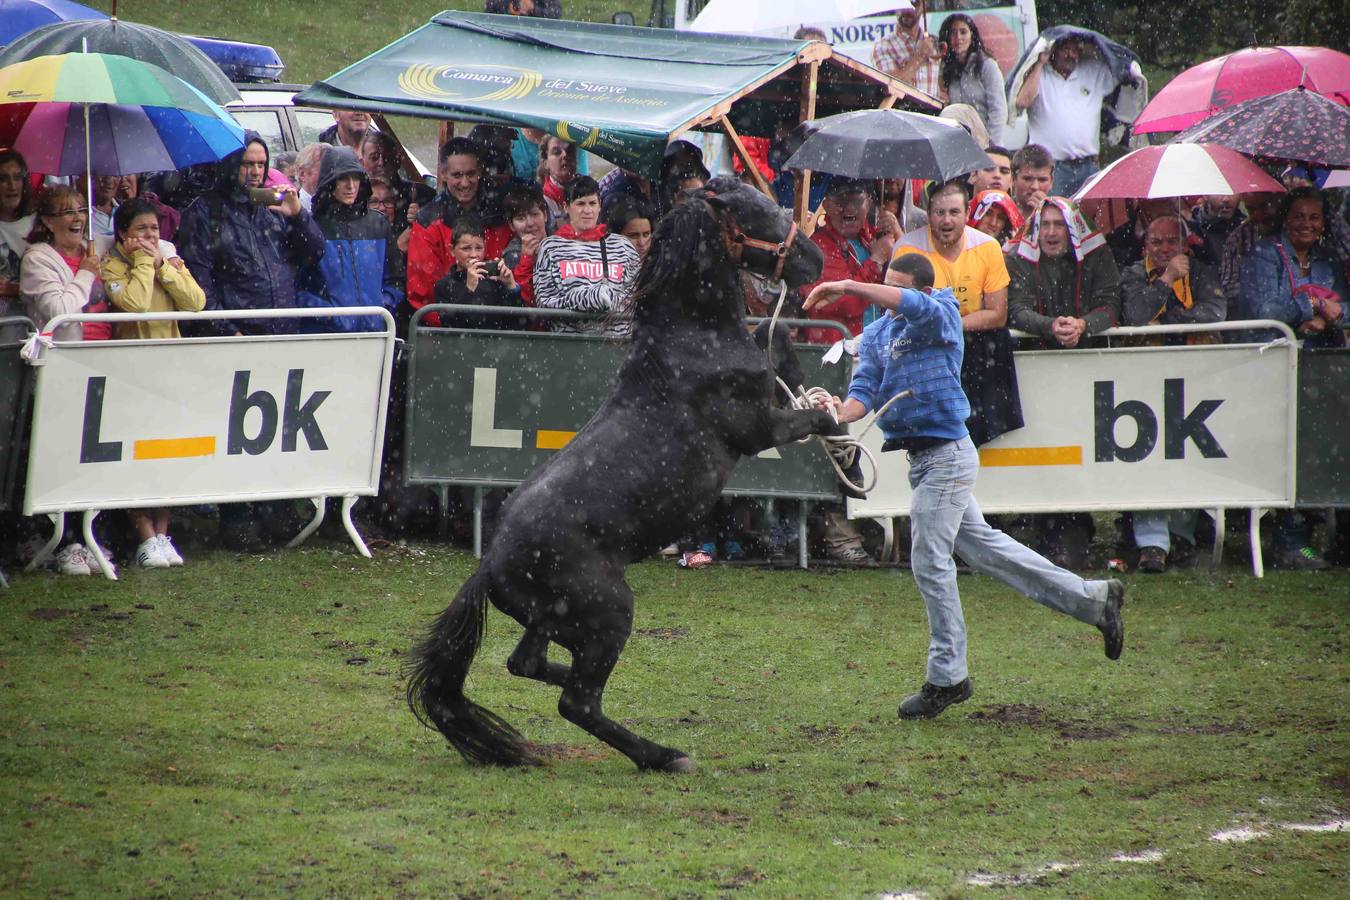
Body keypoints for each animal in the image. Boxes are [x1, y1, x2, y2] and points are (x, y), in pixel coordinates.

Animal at [405, 178, 837, 777]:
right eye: (755, 210)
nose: (813, 260)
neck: (691, 339)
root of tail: (491, 563)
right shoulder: (759, 430)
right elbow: (819, 417)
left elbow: (782, 351)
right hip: (610, 612)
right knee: (578, 702)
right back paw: (664, 756)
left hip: (555, 620)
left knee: (527, 664)